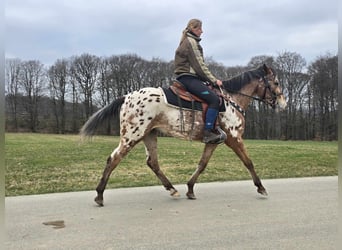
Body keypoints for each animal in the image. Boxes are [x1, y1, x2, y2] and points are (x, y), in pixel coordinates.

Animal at [80, 63, 286, 206]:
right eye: (276, 82)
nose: (283, 103)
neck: (231, 100)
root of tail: (127, 96)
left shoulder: (213, 141)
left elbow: (202, 164)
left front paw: (190, 189)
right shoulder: (234, 139)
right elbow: (248, 162)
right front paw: (261, 187)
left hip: (149, 135)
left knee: (153, 163)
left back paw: (172, 189)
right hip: (132, 135)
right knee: (114, 159)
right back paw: (99, 195)